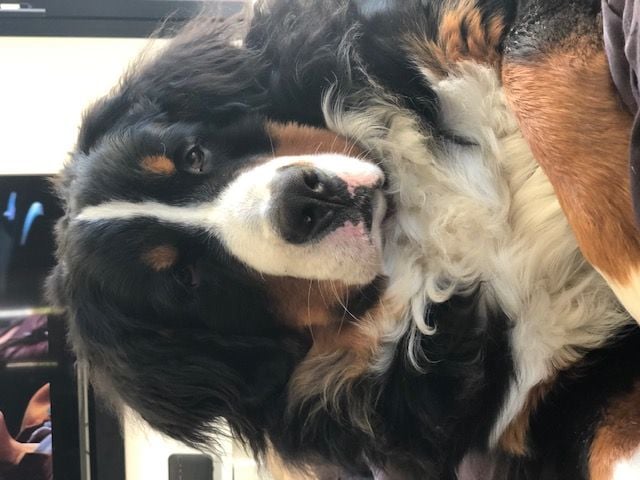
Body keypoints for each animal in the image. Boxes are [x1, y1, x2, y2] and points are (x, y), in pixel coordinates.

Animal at [48, 0, 640, 478]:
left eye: (193, 154)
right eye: (190, 279)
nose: (302, 202)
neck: (428, 223)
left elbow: (533, 79)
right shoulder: (556, 390)